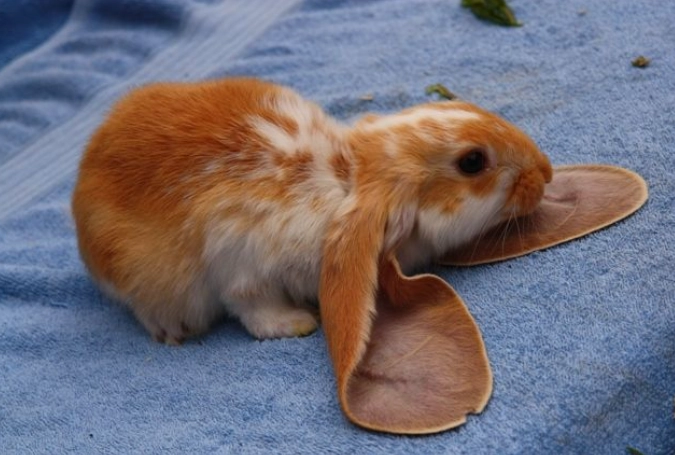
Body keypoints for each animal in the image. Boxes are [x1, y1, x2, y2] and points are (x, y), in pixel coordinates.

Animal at [72, 77, 552, 345]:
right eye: (473, 162)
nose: (545, 172)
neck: (348, 176)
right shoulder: (243, 263)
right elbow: (253, 310)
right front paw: (298, 323)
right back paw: (172, 334)